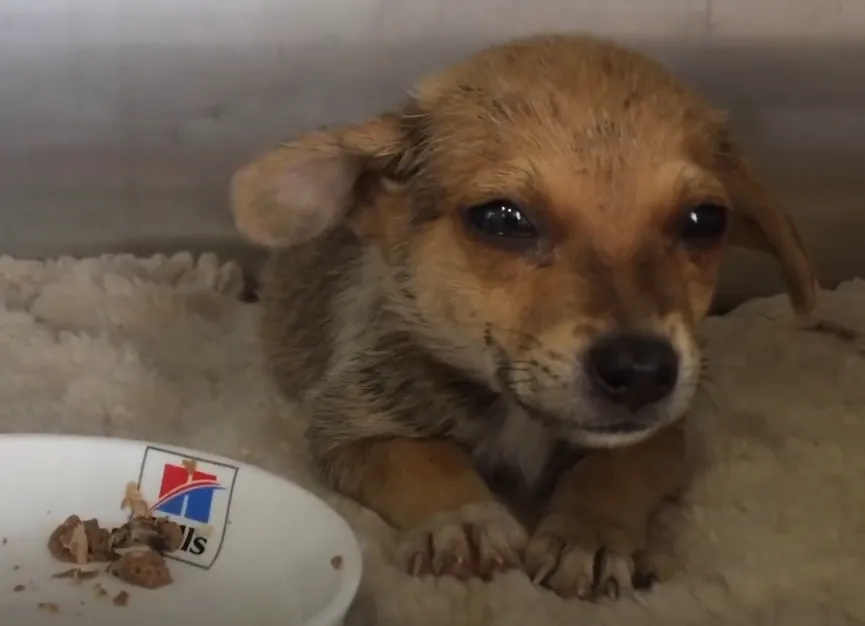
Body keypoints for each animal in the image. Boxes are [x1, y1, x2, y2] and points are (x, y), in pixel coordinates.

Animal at [230, 35, 816, 600]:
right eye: (501, 219)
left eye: (705, 220)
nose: (642, 370)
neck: (520, 416)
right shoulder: (353, 426)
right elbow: (427, 459)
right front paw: (465, 518)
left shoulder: (659, 435)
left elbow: (616, 467)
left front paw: (588, 533)